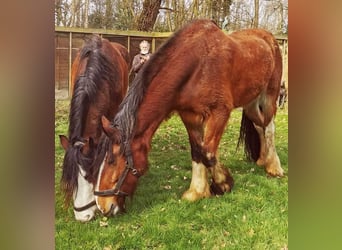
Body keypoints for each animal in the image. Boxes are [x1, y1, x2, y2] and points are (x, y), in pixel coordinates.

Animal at [93, 19, 284, 216]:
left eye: (113, 162)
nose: (103, 206)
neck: (197, 64)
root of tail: (269, 38)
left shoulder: (220, 112)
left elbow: (208, 153)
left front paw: (223, 184)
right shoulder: (190, 116)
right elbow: (198, 151)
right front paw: (197, 191)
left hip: (269, 95)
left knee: (269, 127)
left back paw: (274, 167)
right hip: (251, 103)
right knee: (259, 125)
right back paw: (262, 159)